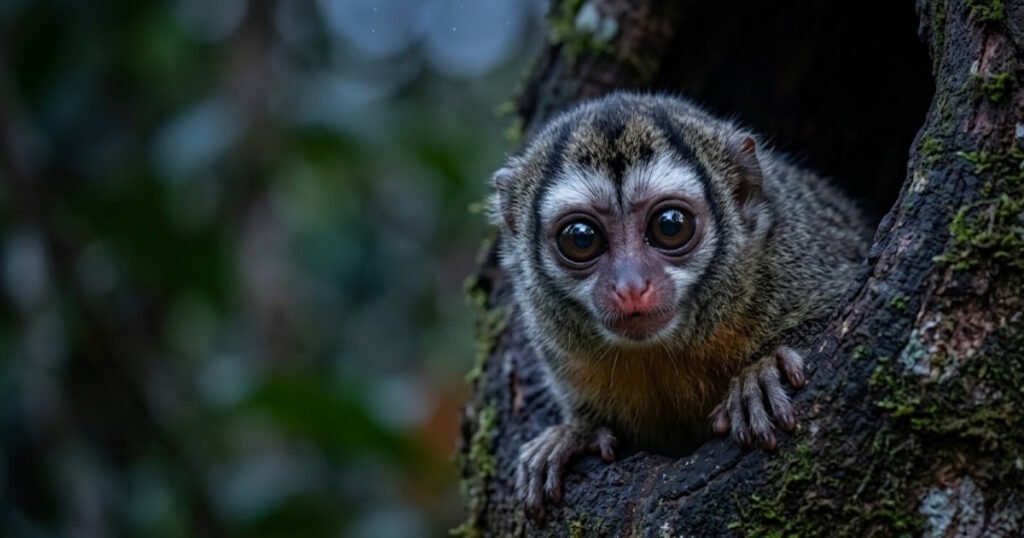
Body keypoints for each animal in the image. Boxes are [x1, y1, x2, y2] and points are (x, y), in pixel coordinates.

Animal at [488, 92, 871, 518]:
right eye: (581, 238)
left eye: (670, 226)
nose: (631, 287)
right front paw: (573, 435)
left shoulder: (796, 256)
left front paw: (762, 375)